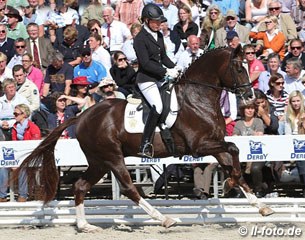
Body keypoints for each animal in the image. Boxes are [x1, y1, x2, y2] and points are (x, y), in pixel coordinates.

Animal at [17, 45, 272, 232]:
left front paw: (259, 205)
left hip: (99, 161)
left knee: (81, 185)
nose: (250, 96)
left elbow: (233, 159)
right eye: (238, 67)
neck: (197, 98)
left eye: (248, 66)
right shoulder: (199, 146)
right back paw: (164, 219)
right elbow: (234, 148)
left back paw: (85, 225)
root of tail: (82, 116)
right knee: (129, 188)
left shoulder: (214, 145)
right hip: (112, 157)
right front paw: (231, 185)